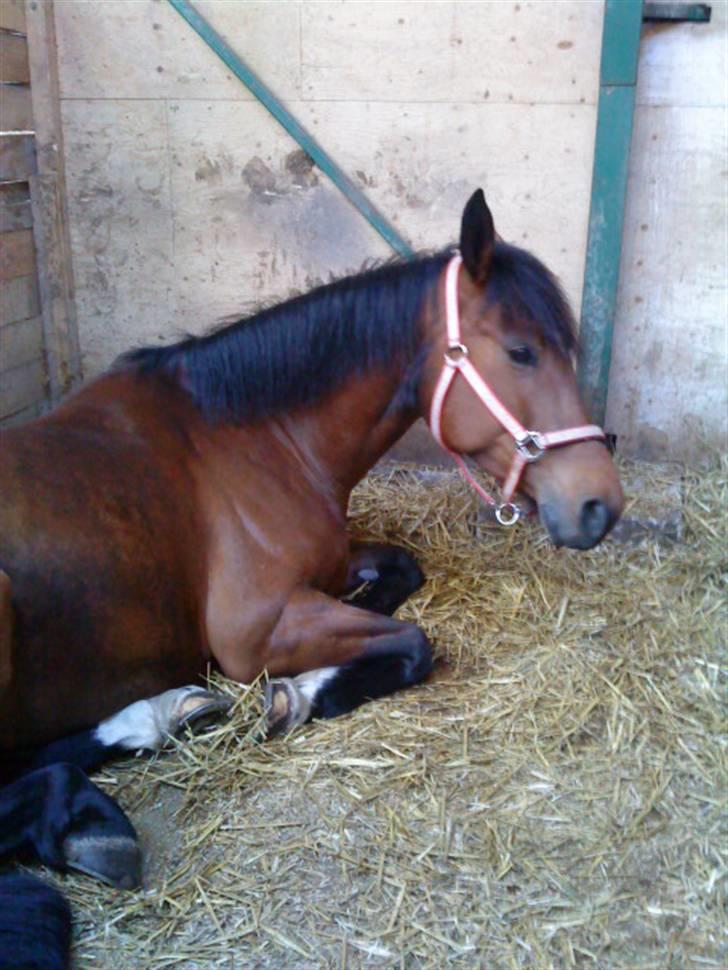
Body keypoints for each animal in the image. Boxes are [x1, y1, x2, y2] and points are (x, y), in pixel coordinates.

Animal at [1, 187, 620, 764]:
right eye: (521, 352)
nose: (602, 505)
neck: (250, 443)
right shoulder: (254, 635)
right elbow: (414, 642)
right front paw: (298, 694)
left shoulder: (328, 568)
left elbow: (403, 570)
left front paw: (366, 601)